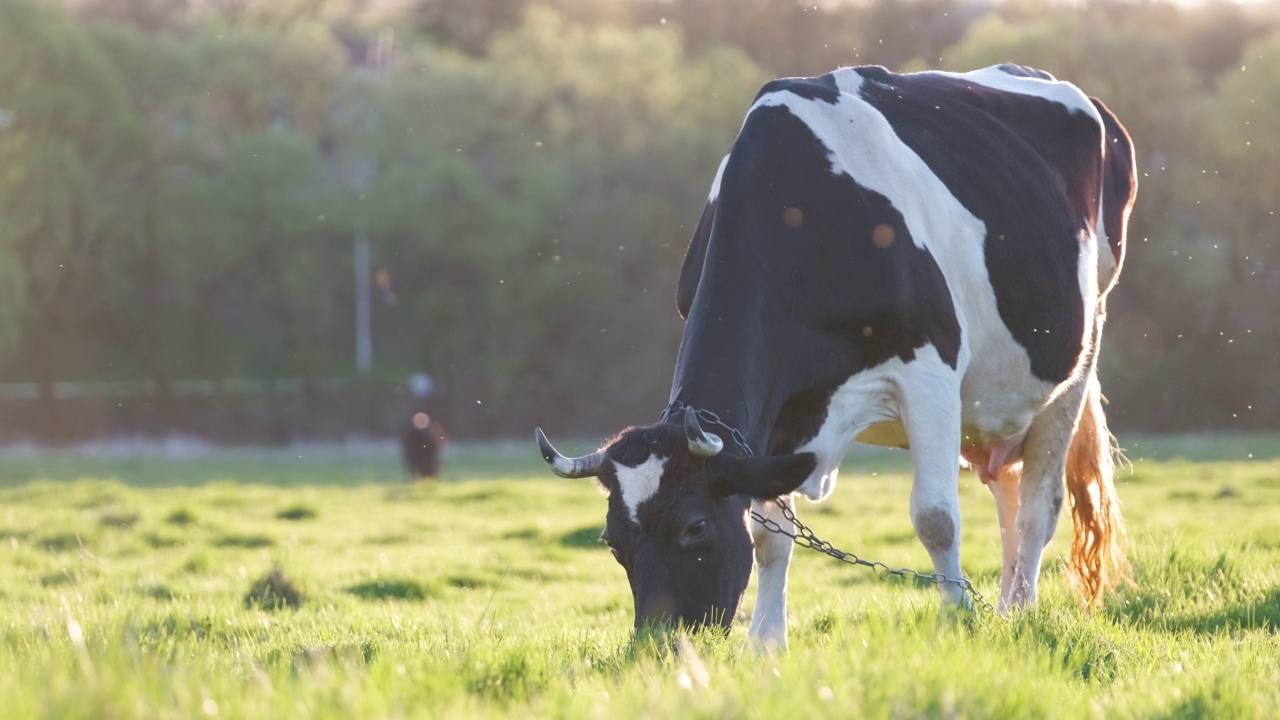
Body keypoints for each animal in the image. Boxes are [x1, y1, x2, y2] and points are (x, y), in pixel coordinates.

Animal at [535, 61, 1136, 648]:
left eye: (694, 527)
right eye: (613, 541)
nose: (658, 644)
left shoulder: (931, 371)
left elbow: (936, 516)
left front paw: (958, 620)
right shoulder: (777, 414)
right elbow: (768, 534)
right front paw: (766, 644)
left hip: (1082, 349)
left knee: (1038, 504)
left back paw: (1021, 608)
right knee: (1007, 490)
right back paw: (1008, 608)